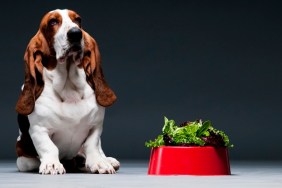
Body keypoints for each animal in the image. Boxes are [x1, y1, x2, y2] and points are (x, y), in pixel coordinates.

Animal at [14, 9, 119, 175]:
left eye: (78, 20)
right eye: (52, 22)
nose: (76, 33)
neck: (69, 87)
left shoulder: (96, 126)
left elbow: (92, 145)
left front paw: (98, 163)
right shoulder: (39, 130)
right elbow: (49, 148)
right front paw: (51, 164)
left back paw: (104, 160)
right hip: (22, 157)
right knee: (28, 162)